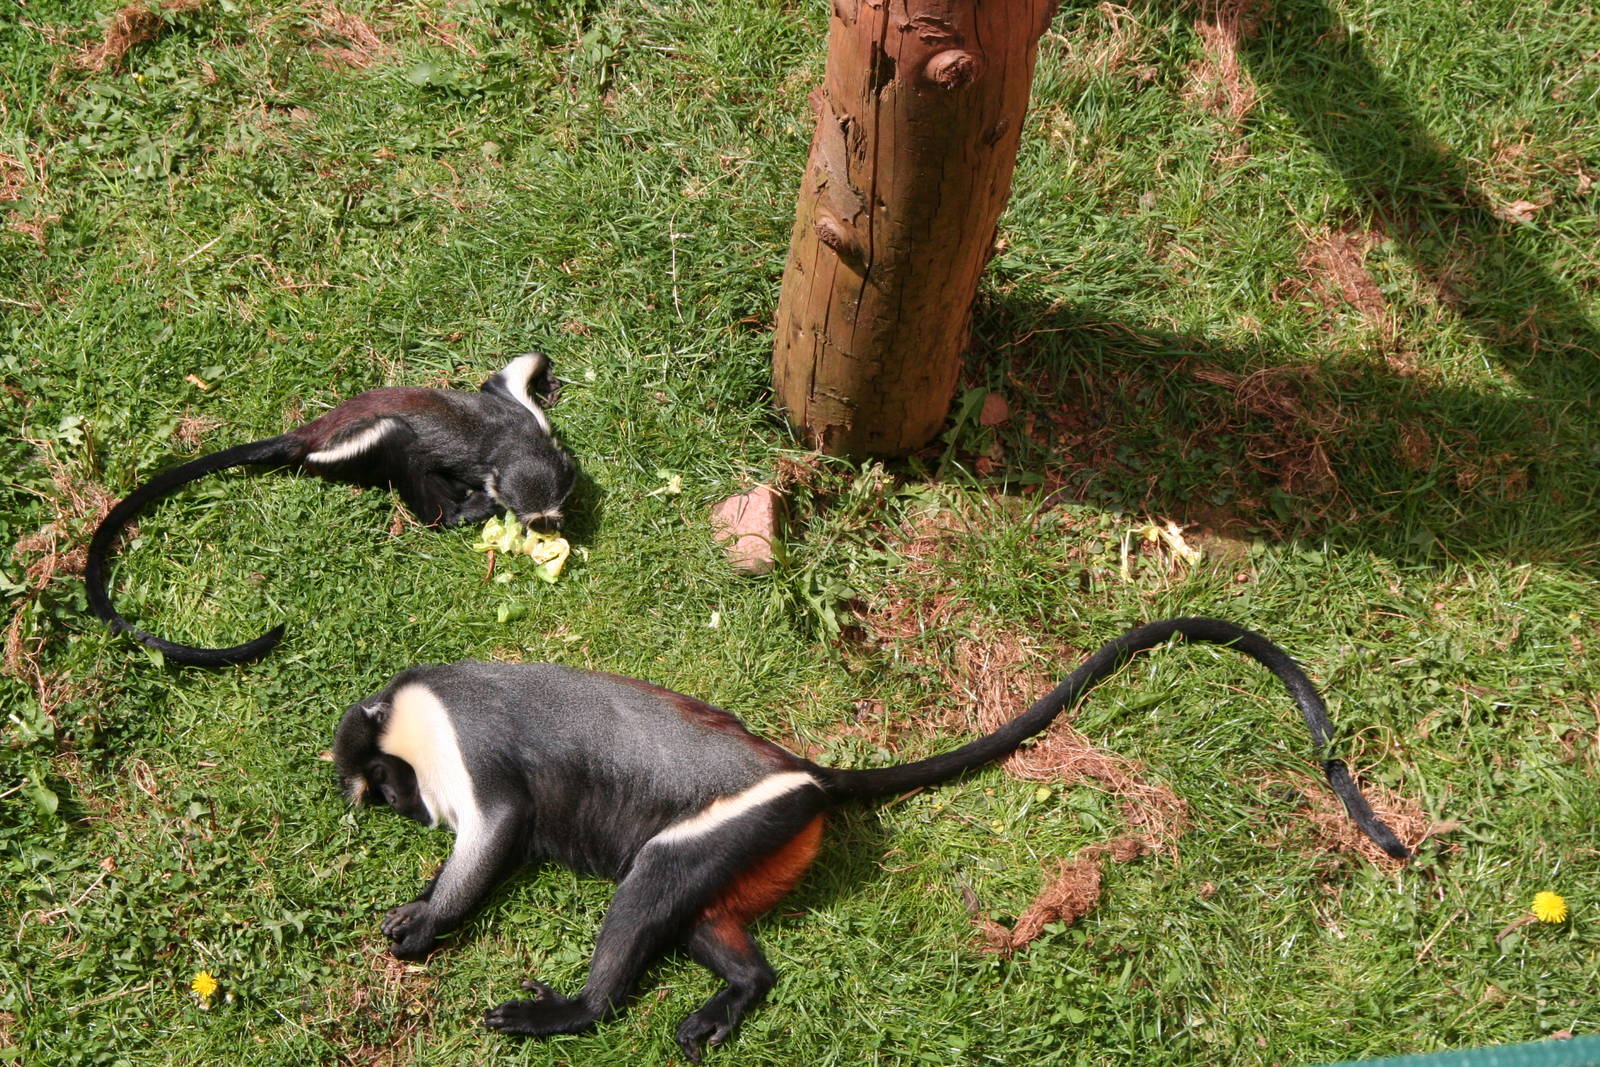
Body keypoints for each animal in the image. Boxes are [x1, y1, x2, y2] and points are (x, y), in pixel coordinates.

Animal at [86, 353, 576, 668]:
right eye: (535, 521)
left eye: (550, 515)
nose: (547, 530)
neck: (508, 441)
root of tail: (307, 437)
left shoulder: (523, 415)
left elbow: (506, 374)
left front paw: (545, 378)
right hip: (352, 448)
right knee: (399, 442)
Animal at [333, 616, 1409, 1062]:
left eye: (378, 779)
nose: (388, 803)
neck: (418, 710)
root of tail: (803, 768)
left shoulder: (474, 751)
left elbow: (500, 829)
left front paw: (425, 919)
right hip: (756, 836)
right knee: (693, 911)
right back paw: (740, 988)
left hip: (739, 819)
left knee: (649, 885)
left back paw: (577, 1009)